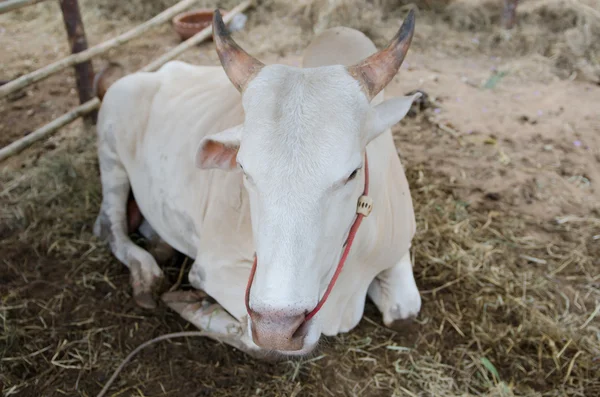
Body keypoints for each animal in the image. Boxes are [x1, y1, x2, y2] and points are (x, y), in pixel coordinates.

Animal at [94, 9, 422, 358]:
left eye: (353, 172)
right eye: (243, 168)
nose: (278, 328)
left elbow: (405, 310)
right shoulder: (213, 270)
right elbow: (260, 344)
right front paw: (196, 305)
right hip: (110, 154)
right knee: (110, 227)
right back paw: (146, 273)